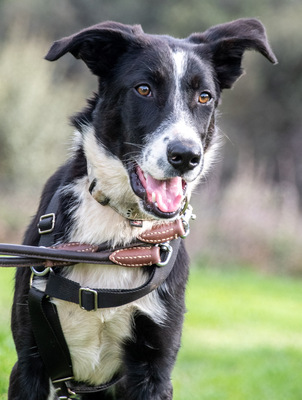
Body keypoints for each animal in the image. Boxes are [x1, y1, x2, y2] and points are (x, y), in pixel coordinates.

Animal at [8, 18, 276, 400]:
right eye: (144, 89)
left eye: (204, 96)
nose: (186, 156)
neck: (118, 236)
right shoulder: (31, 360)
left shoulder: (153, 368)